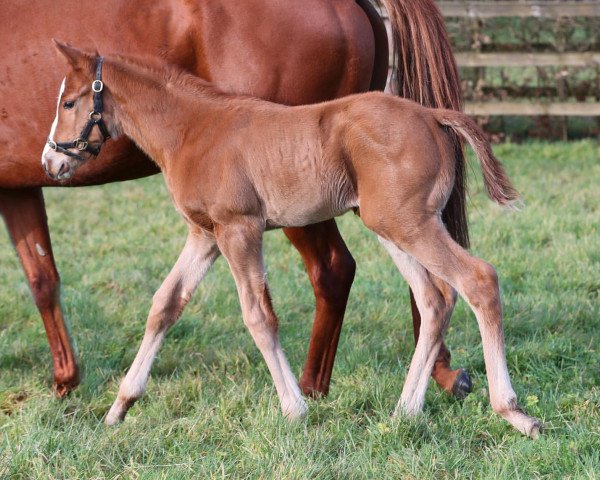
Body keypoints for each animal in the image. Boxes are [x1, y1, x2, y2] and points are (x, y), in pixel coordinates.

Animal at [42, 44, 540, 438]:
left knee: (479, 280)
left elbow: (259, 316)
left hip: (410, 224)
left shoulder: (238, 229)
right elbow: (165, 305)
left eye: (69, 101)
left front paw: (295, 409)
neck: (193, 129)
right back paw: (405, 411)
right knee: (436, 298)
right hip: (392, 225)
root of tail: (431, 114)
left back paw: (512, 412)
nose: (51, 161)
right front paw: (120, 406)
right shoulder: (204, 235)